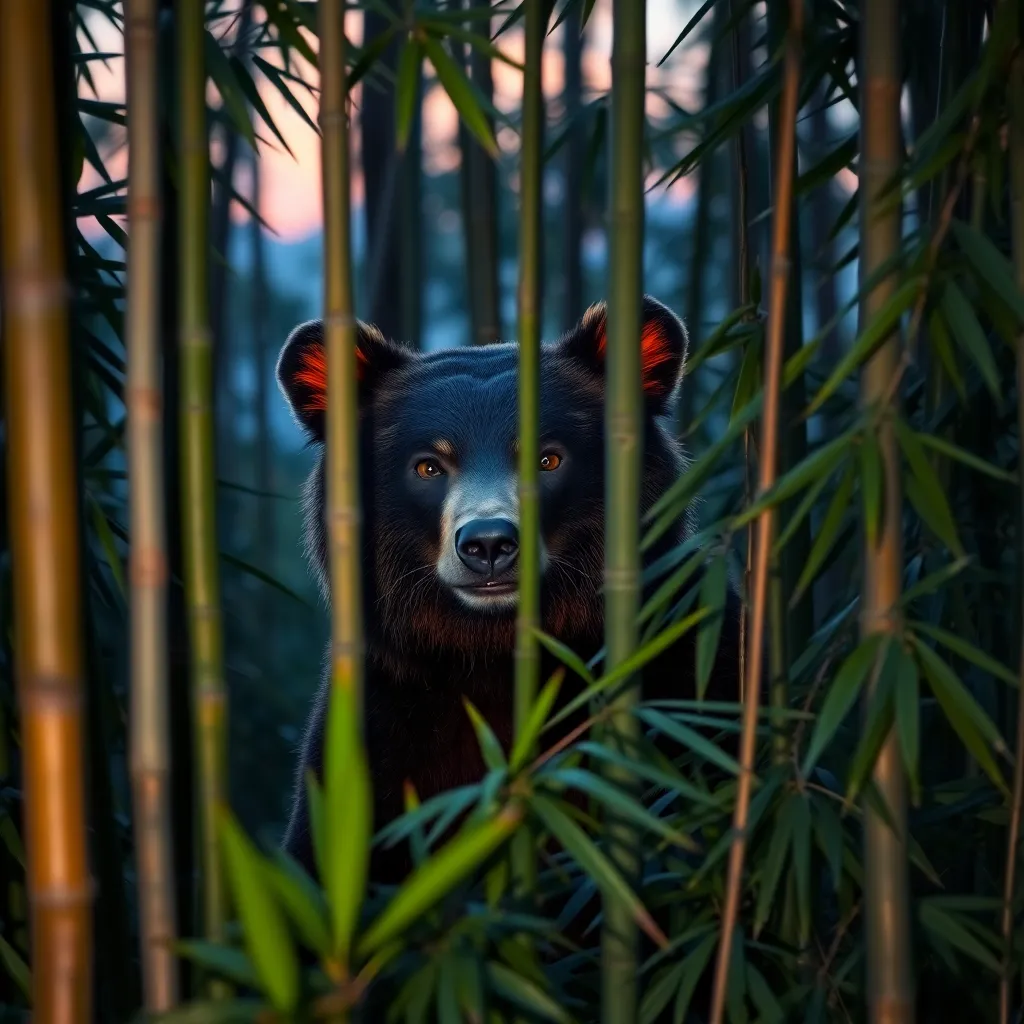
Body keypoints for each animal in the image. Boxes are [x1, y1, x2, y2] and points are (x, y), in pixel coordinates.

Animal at [275, 294, 743, 888]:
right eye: (428, 465)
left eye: (548, 458)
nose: (488, 543)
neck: (491, 649)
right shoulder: (374, 735)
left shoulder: (692, 680)